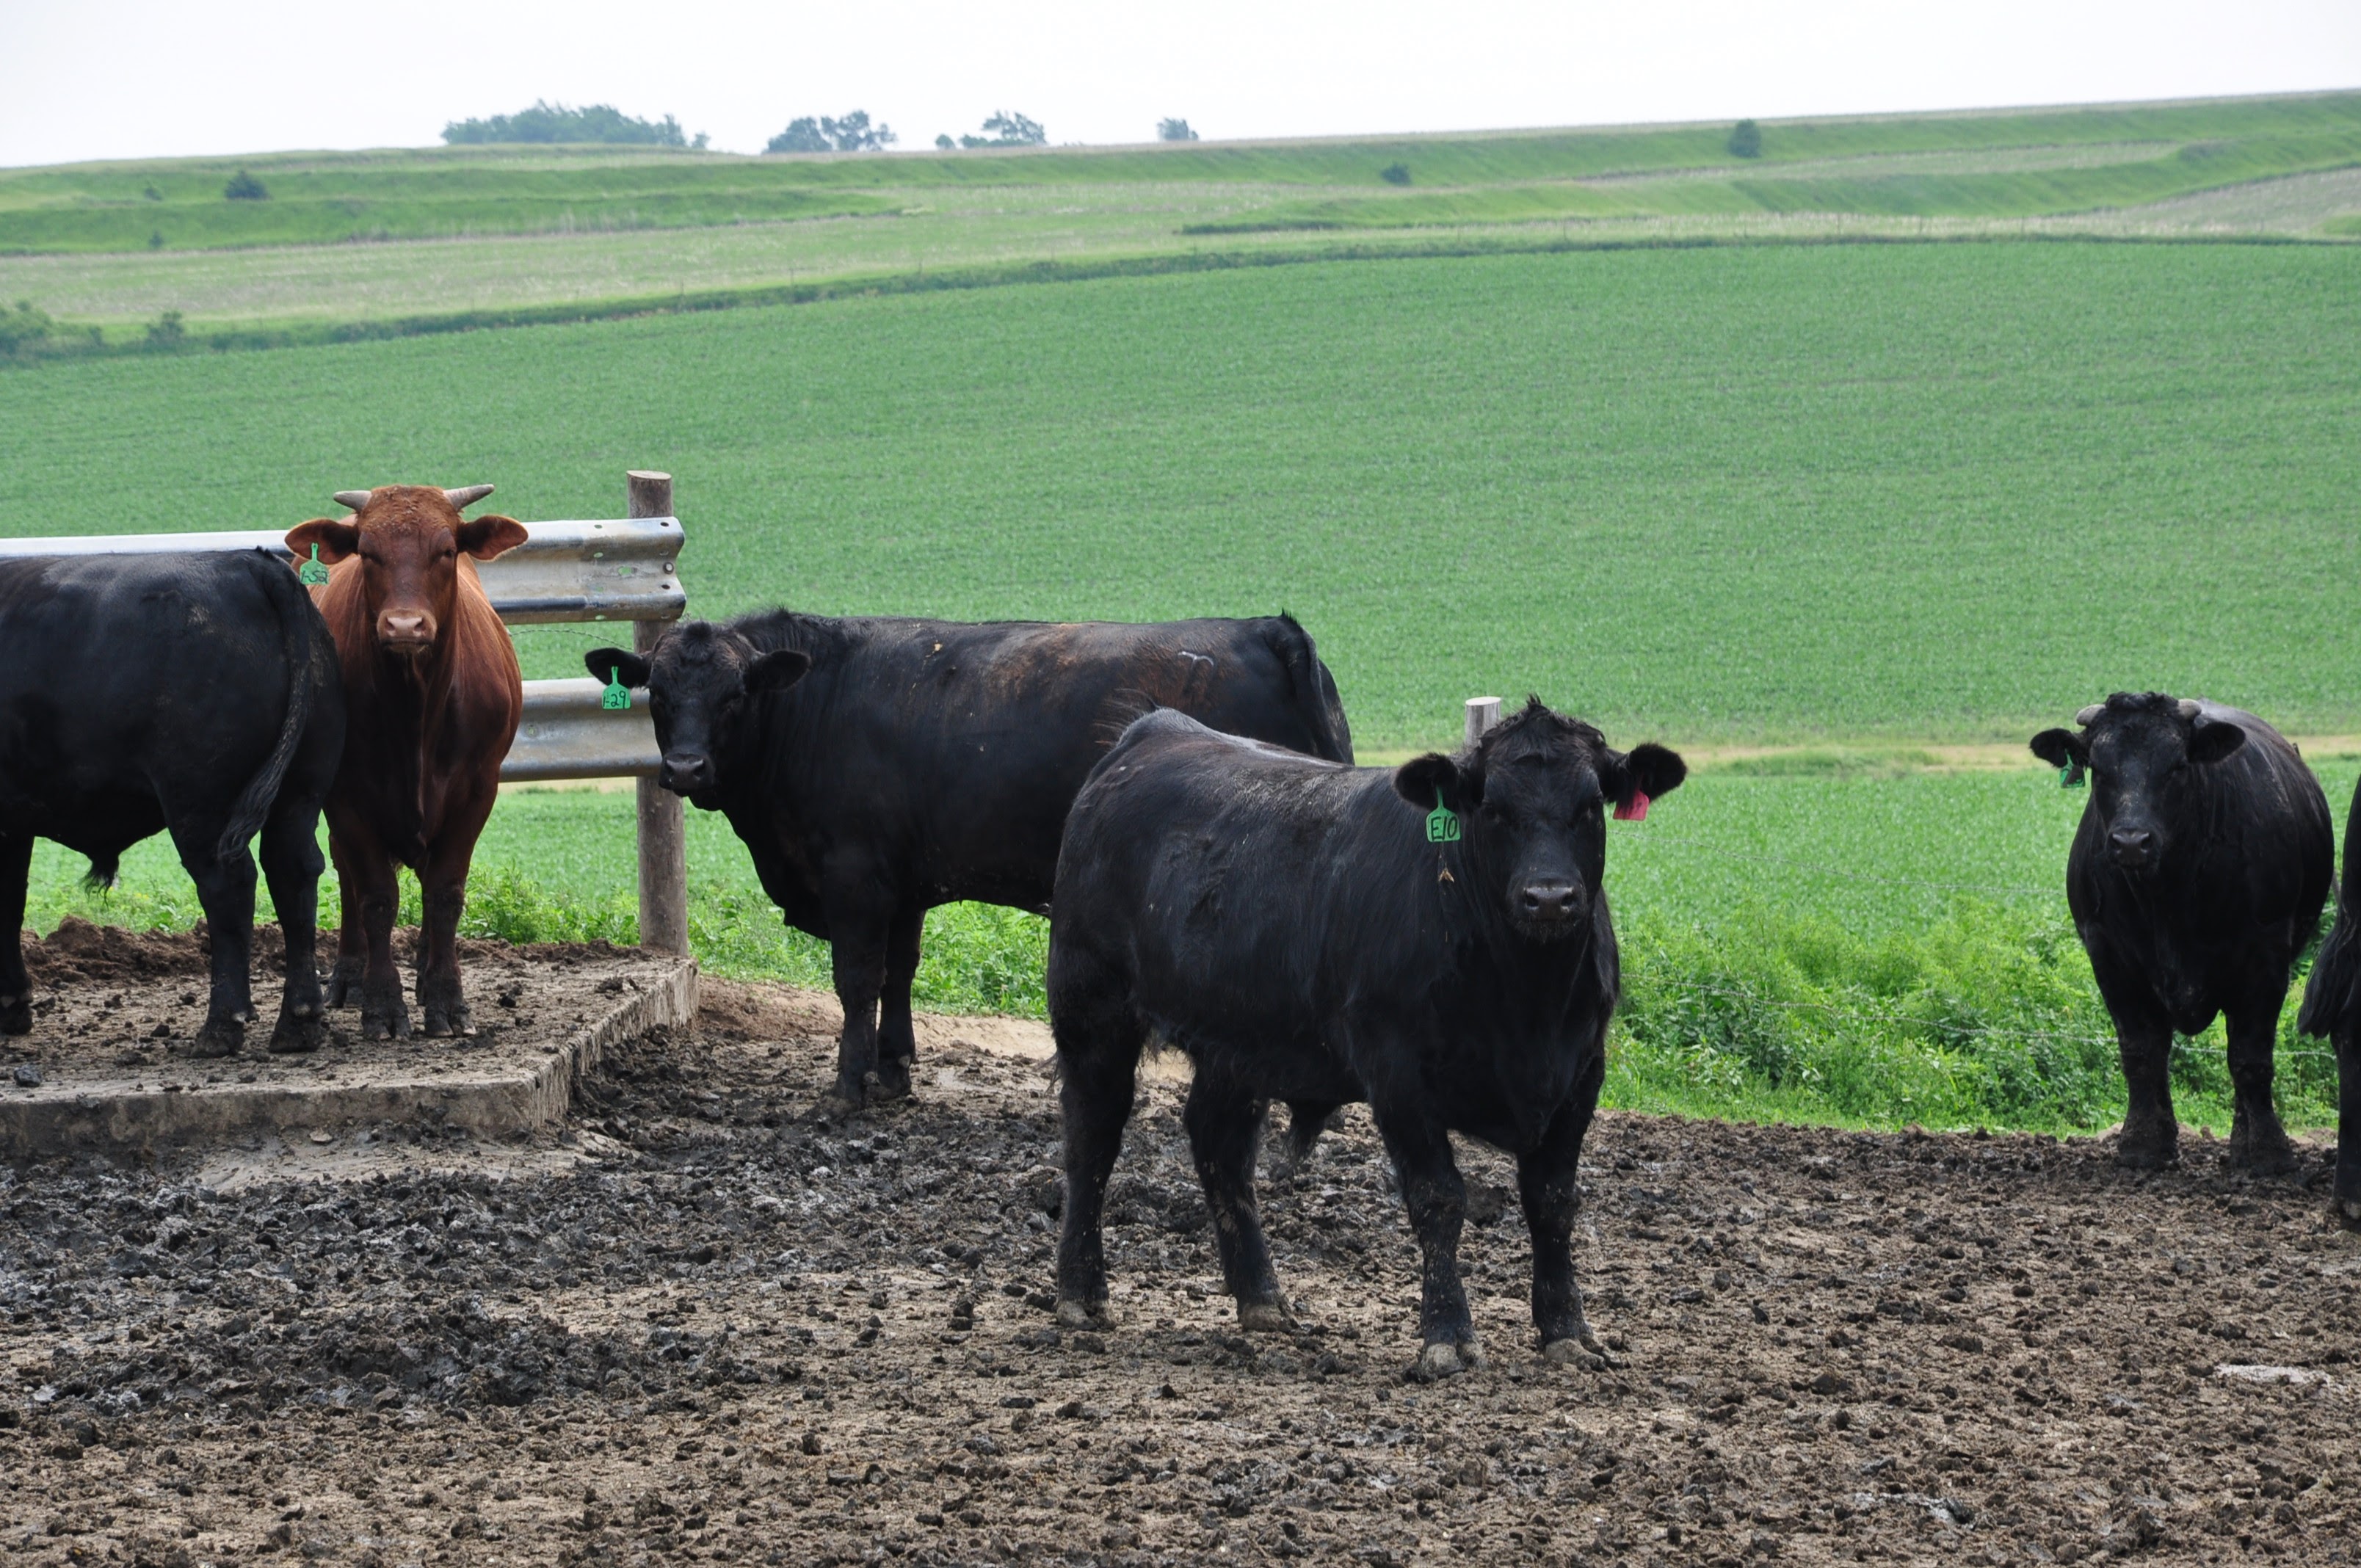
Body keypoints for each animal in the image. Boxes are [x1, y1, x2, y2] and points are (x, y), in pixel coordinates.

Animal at [0, 551, 344, 1056]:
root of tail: (248, 562)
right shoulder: (13, 823)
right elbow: (11, 901)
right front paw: (12, 1008)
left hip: (199, 800)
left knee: (228, 886)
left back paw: (221, 1027)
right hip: (300, 791)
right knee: (294, 874)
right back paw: (298, 1024)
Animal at [285, 485, 526, 1040]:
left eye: (446, 550)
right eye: (367, 552)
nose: (404, 625)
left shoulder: (477, 792)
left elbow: (445, 894)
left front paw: (446, 998)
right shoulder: (347, 797)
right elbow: (375, 896)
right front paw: (382, 1003)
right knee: (349, 876)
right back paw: (350, 977)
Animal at [585, 611, 1354, 1113]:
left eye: (736, 694)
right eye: (658, 694)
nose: (687, 768)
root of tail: (1266, 626)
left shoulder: (854, 878)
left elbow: (856, 981)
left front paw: (846, 1087)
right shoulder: (901, 885)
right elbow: (899, 974)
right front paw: (894, 1070)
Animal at [1044, 699, 1686, 1378]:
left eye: (1590, 805)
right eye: (1492, 807)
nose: (1550, 898)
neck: (1526, 1002)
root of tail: (1150, 733)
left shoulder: (1581, 1074)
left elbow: (1553, 1201)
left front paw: (1568, 1329)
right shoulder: (1398, 1074)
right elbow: (1439, 1200)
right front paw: (1448, 1334)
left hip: (1239, 1041)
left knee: (1221, 1147)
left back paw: (1262, 1298)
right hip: (1092, 1010)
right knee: (1092, 1141)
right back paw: (1081, 1293)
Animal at [2029, 693, 2330, 1173]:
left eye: (2176, 766)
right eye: (2100, 768)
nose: (2131, 842)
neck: (2167, 899)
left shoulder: (2265, 959)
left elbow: (2251, 1057)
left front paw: (2268, 1151)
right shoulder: (2109, 955)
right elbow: (2142, 1052)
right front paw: (2141, 1144)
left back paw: (2242, 1143)